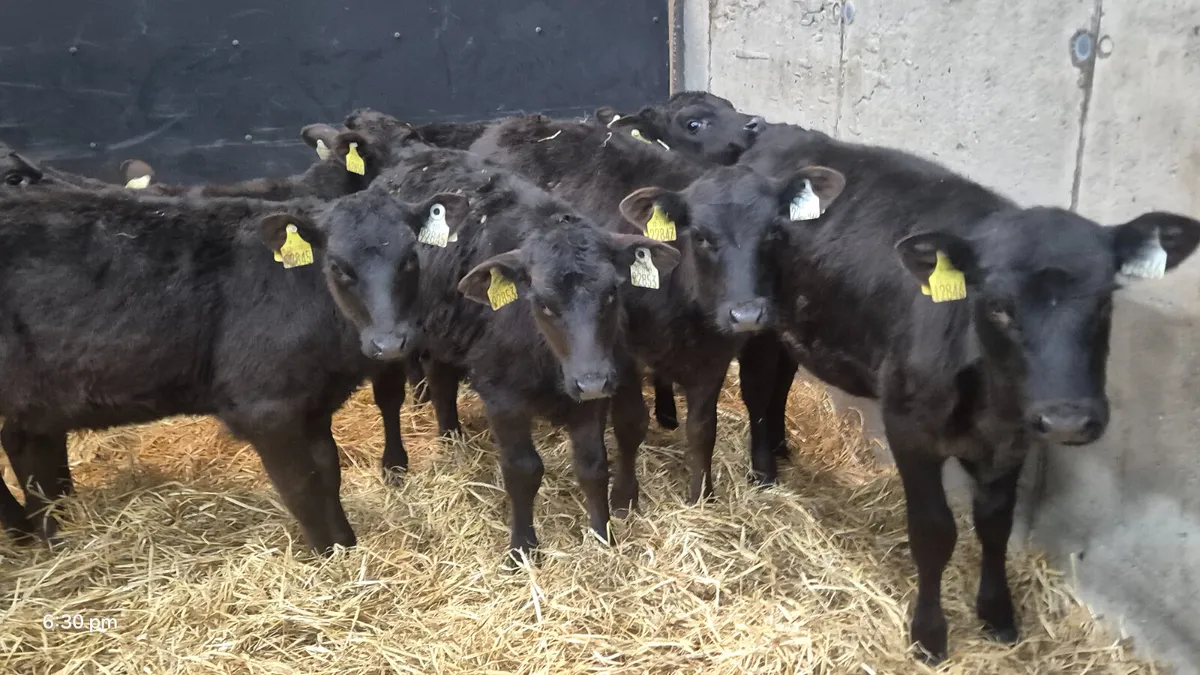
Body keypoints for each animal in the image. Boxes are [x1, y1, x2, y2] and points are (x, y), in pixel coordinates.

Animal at [0, 183, 472, 553]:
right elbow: (301, 486)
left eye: (410, 258)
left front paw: (346, 545)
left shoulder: (311, 402)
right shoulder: (264, 408)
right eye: (339, 267)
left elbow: (328, 472)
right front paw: (326, 554)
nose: (389, 342)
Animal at [329, 138, 680, 562]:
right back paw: (397, 462)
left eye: (612, 292)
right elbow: (523, 470)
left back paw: (451, 438)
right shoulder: (503, 398)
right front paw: (523, 548)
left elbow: (593, 465)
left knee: (441, 379)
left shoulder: (590, 395)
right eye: (543, 303)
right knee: (393, 398)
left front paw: (602, 536)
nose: (593, 380)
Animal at [470, 115, 845, 506]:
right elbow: (631, 423)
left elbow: (703, 429)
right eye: (701, 236)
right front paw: (624, 498)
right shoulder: (619, 356)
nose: (746, 315)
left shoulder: (714, 357)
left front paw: (702, 495)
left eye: (772, 232)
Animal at [734, 121, 1200, 662]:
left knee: (783, 377)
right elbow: (934, 531)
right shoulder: (908, 428)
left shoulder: (1012, 442)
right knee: (757, 386)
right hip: (756, 319)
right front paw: (929, 634)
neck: (989, 407)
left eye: (1105, 301)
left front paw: (997, 614)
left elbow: (995, 525)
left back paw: (782, 448)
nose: (1067, 419)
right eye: (996, 305)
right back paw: (764, 470)